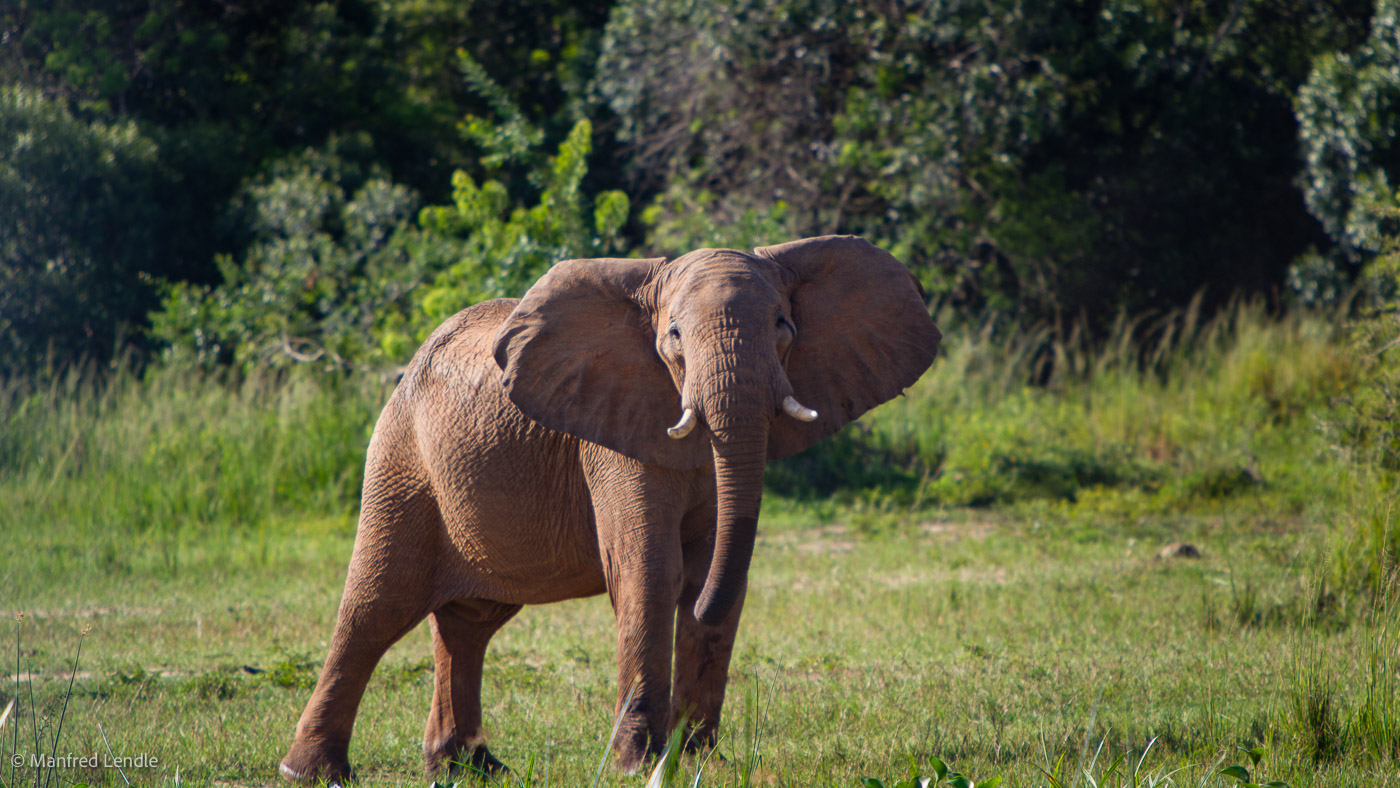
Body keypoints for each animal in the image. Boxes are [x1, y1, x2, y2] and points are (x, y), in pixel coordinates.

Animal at [275, 233, 940, 783]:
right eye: (674, 336)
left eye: (784, 325)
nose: (683, 739)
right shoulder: (612, 436)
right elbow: (650, 569)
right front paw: (640, 766)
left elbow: (721, 566)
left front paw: (702, 761)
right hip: (402, 461)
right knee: (376, 607)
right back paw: (311, 773)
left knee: (470, 622)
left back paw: (471, 769)